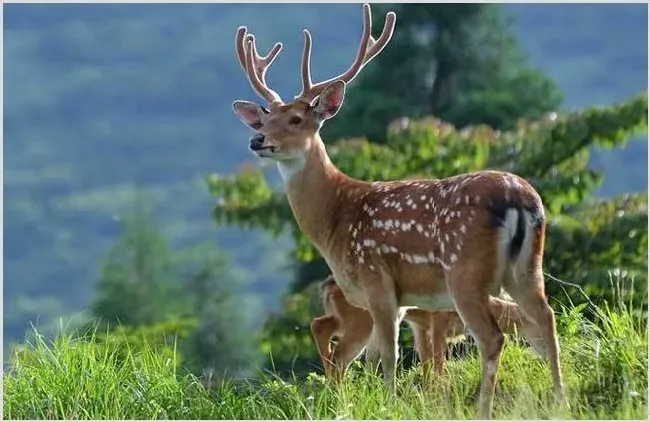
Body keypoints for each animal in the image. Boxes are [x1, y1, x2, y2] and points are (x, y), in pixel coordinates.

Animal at [232, 3, 560, 418]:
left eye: (296, 119)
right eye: (264, 118)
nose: (258, 139)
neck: (337, 219)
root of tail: (522, 199)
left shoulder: (377, 279)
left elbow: (388, 357)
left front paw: (388, 406)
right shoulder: (401, 300)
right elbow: (379, 359)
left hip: (464, 272)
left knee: (493, 337)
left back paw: (483, 409)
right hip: (528, 267)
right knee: (546, 319)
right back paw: (562, 400)